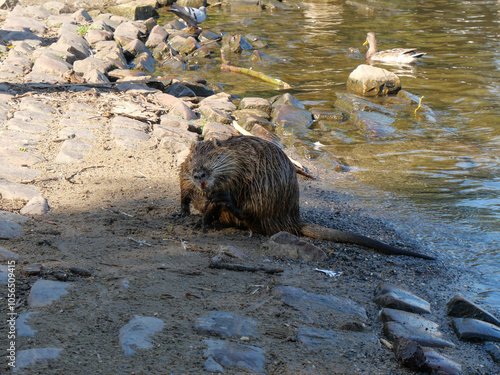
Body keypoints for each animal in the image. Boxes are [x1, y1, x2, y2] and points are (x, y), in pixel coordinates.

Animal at [179, 136, 434, 262]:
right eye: (192, 157)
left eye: (213, 157)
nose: (199, 174)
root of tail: (295, 220)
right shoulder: (186, 173)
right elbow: (184, 189)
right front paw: (182, 212)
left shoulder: (237, 175)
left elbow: (218, 201)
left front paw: (203, 218)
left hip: (265, 195)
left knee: (251, 214)